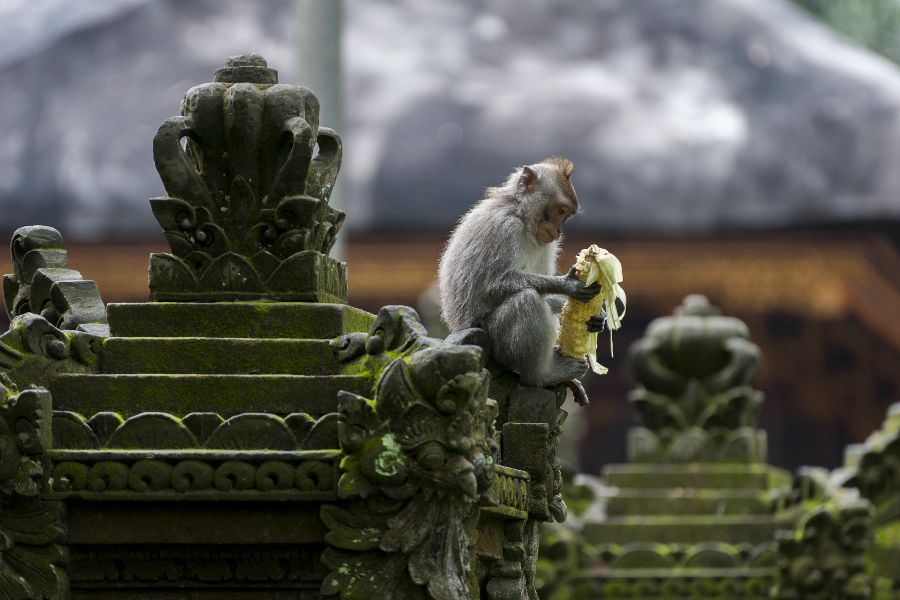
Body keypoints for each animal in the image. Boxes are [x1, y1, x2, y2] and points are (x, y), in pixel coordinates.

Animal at [440, 157, 600, 396]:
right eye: (560, 210)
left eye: (566, 215)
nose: (559, 231)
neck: (521, 216)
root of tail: (459, 329)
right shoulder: (503, 227)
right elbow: (492, 284)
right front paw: (567, 285)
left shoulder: (547, 243)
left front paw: (597, 318)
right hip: (494, 342)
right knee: (526, 300)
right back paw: (542, 376)